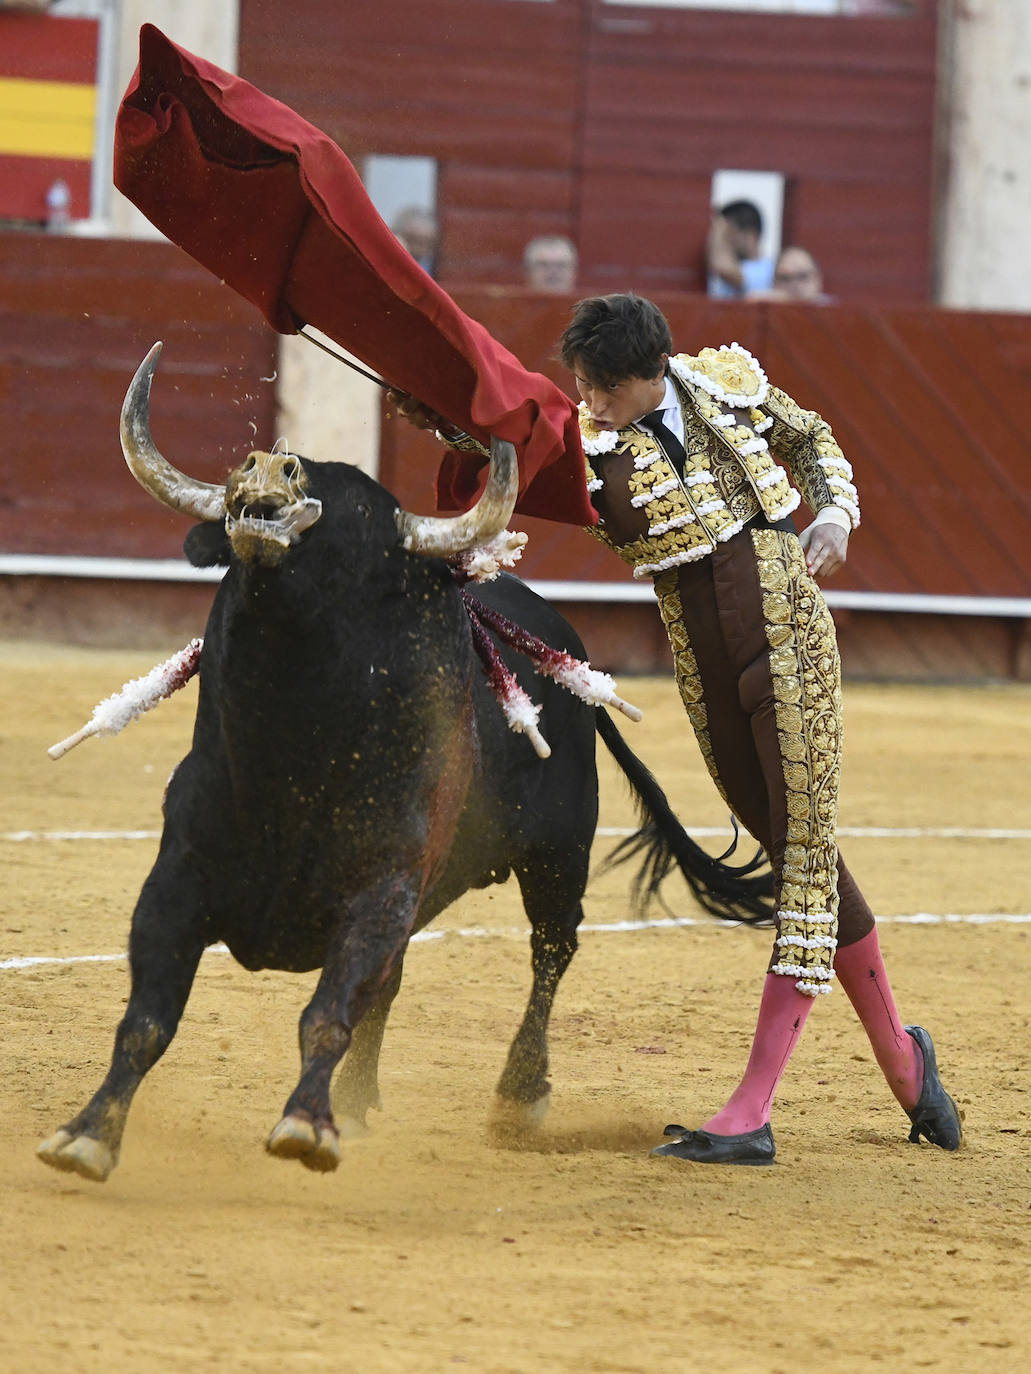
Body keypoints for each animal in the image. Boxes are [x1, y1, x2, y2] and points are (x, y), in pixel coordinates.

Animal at [36, 359, 769, 1176]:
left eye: (355, 522)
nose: (267, 466)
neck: (288, 752)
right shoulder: (175, 880)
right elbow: (148, 1018)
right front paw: (88, 1133)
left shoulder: (381, 886)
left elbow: (327, 1012)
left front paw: (306, 1125)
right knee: (398, 983)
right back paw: (360, 1101)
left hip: (558, 856)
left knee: (551, 953)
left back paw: (517, 1095)